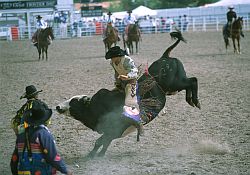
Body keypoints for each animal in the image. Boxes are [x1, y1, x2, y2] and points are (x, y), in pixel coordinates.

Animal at [55, 30, 200, 158]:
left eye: (74, 102)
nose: (57, 106)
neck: (95, 107)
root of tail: (165, 57)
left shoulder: (114, 128)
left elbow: (99, 142)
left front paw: (91, 156)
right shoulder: (113, 132)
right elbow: (105, 143)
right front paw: (99, 155)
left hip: (175, 83)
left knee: (193, 81)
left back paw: (195, 101)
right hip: (172, 88)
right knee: (190, 83)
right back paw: (191, 100)